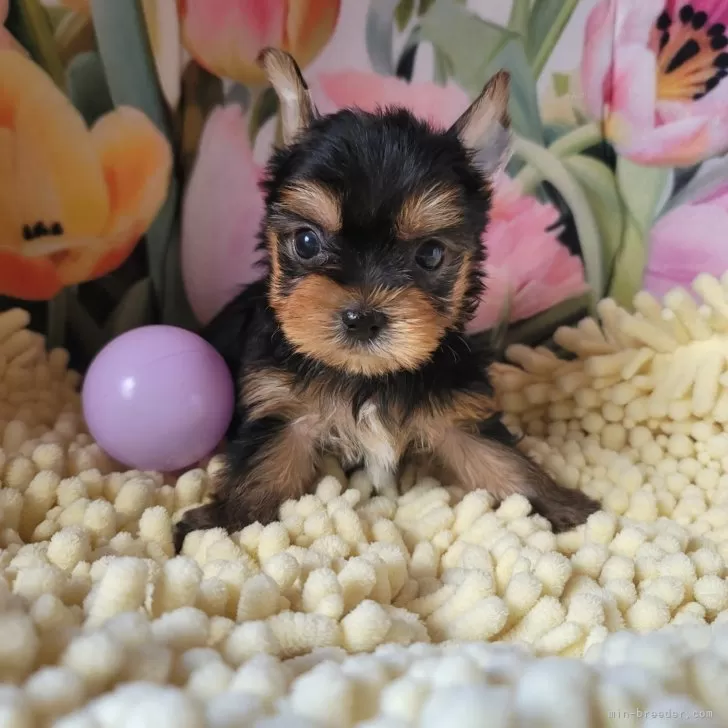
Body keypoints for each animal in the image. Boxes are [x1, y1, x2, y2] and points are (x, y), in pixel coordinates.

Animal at [173, 49, 600, 552]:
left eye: (430, 254)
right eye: (306, 242)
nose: (362, 319)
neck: (368, 378)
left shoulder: (456, 410)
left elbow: (502, 462)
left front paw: (568, 508)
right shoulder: (283, 408)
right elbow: (264, 467)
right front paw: (222, 525)